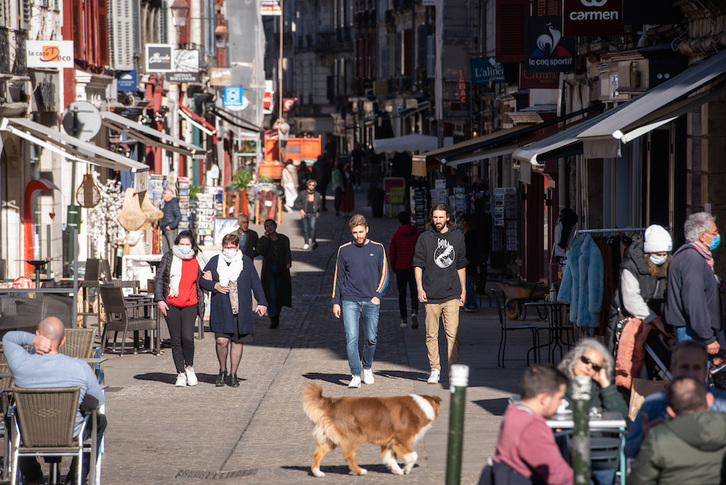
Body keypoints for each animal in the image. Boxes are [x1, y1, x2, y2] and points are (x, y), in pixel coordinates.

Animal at [302, 380, 444, 474]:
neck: (423, 405)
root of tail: (332, 403)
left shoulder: (388, 442)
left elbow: (390, 458)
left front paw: (397, 470)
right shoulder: (400, 439)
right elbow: (413, 455)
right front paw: (406, 469)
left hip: (331, 440)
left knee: (317, 453)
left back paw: (317, 472)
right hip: (353, 437)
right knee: (349, 456)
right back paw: (360, 471)